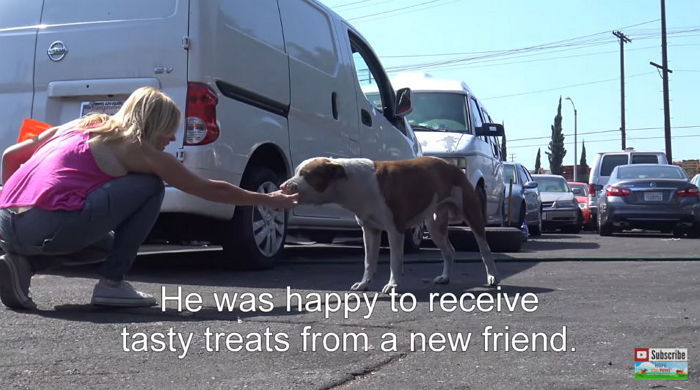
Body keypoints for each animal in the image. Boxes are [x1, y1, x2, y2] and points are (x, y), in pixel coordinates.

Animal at [278, 156, 498, 292]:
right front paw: (364, 284)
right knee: (449, 251)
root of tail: (452, 166)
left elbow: (395, 260)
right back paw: (445, 277)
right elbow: (369, 261)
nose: (282, 186)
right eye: (297, 171)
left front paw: (393, 285)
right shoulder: (370, 231)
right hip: (435, 226)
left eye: (307, 174)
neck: (352, 183)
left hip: (472, 215)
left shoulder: (395, 230)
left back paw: (492, 277)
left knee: (485, 248)